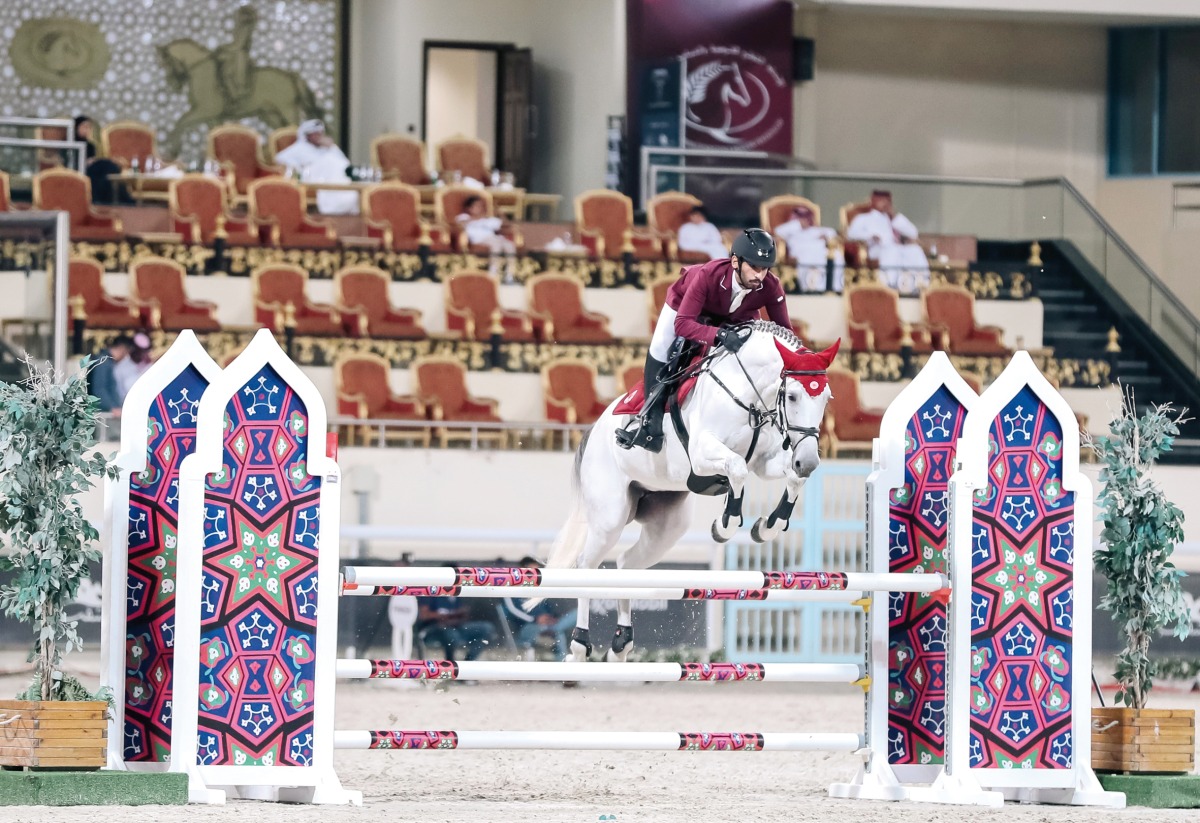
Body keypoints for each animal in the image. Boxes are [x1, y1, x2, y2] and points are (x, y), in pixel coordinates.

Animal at [544, 321, 835, 662]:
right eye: (791, 396)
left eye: (826, 398)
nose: (809, 461)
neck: (748, 394)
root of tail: (593, 430)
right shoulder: (702, 453)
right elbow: (736, 469)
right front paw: (724, 525)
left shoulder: (766, 462)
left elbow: (790, 478)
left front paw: (767, 526)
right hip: (609, 517)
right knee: (586, 565)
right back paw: (579, 646)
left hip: (666, 527)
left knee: (626, 565)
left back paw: (620, 645)